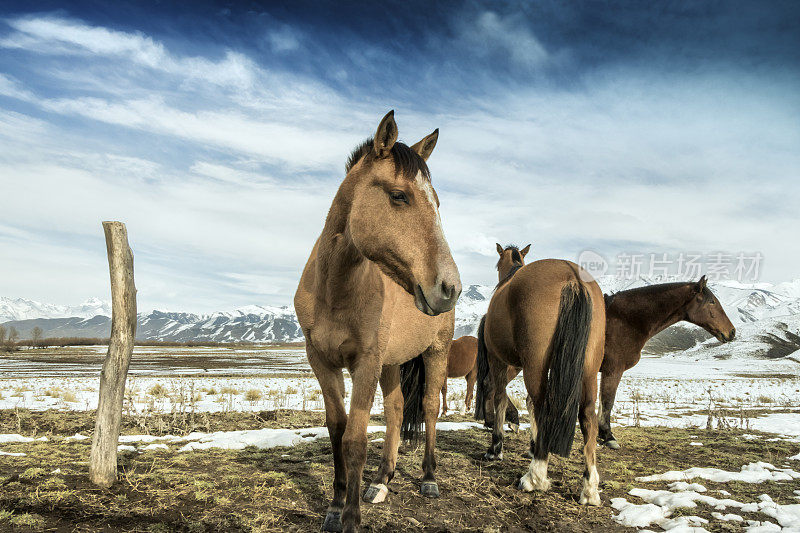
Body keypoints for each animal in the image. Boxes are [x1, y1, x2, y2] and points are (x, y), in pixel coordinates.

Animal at [294, 110, 460, 528]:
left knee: (429, 407)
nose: (450, 287)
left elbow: (355, 438)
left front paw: (351, 518)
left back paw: (429, 478)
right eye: (399, 195)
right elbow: (337, 430)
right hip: (392, 362)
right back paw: (382, 480)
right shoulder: (322, 361)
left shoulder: (366, 362)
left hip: (435, 352)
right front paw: (336, 506)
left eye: (437, 202)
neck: (336, 291)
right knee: (398, 409)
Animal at [476, 256, 608, 502]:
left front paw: (496, 447)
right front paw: (532, 444)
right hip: (589, 368)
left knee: (540, 405)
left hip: (534, 365)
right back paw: (589, 487)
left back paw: (535, 475)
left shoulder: (498, 359)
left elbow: (500, 398)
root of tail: (572, 276)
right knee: (588, 417)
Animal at [596, 276, 736, 446]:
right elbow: (607, 402)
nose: (732, 332)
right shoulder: (613, 369)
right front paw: (607, 436)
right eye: (712, 302)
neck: (625, 320)